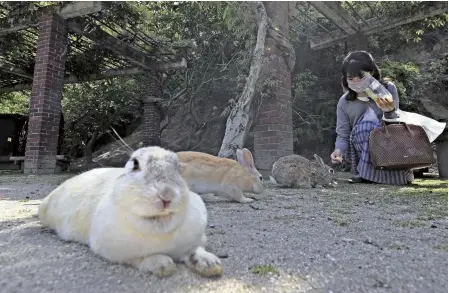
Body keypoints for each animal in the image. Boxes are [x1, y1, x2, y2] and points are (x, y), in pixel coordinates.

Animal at [38, 147, 222, 278]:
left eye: (177, 168)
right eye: (135, 164)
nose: (167, 195)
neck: (160, 231)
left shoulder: (195, 241)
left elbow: (195, 250)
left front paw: (211, 264)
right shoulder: (114, 251)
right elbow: (140, 259)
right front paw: (163, 266)